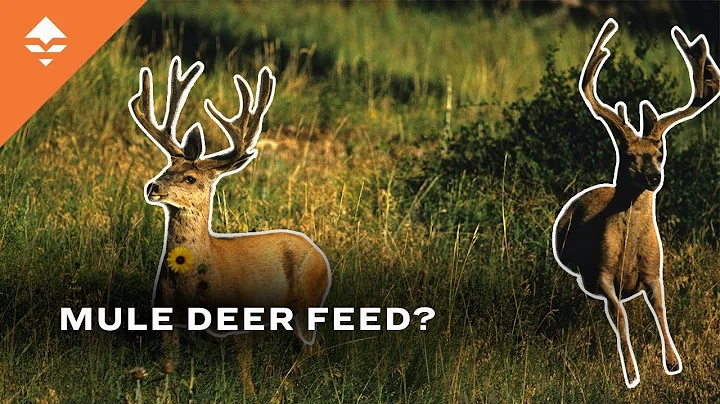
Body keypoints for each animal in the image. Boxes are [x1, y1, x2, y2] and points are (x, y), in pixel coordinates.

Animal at [128, 56, 332, 393]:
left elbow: (244, 367)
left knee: (311, 347)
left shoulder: (240, 315)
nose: (152, 187)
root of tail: (319, 253)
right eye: (166, 167)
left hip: (308, 297)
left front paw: (250, 393)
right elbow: (172, 363)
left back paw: (285, 386)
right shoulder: (166, 315)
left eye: (190, 178)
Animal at [552, 18, 720, 389]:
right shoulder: (601, 273)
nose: (655, 177)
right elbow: (621, 316)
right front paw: (631, 373)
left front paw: (673, 361)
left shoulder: (654, 271)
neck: (628, 253)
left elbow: (661, 310)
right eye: (629, 156)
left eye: (660, 154)